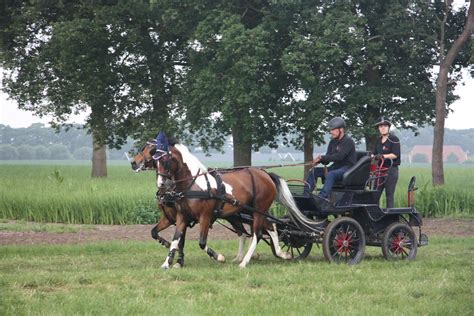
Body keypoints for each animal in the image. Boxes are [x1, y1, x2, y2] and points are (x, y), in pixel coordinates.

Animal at [154, 133, 302, 270]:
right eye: (156, 162)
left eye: (165, 160)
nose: (161, 184)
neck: (194, 184)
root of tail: (266, 174)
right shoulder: (182, 216)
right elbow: (175, 239)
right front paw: (166, 263)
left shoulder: (205, 216)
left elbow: (201, 242)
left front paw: (219, 257)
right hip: (253, 211)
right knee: (271, 227)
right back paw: (282, 254)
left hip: (259, 210)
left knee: (257, 234)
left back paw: (244, 262)